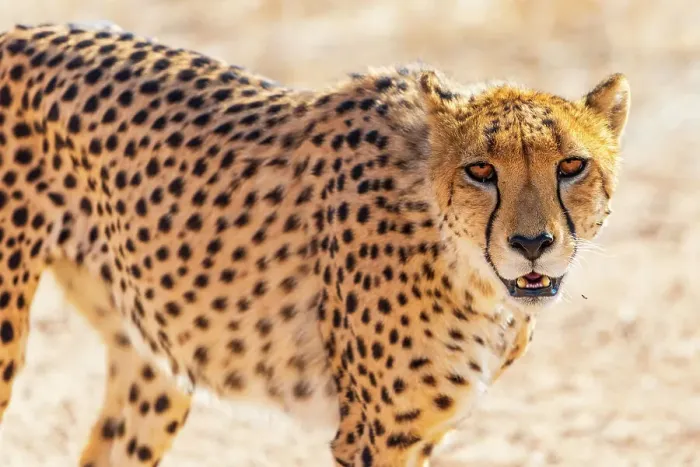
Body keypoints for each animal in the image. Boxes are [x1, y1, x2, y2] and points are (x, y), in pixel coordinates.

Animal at [0, 22, 630, 467]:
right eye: (480, 170)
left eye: (571, 165)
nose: (531, 243)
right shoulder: (376, 437)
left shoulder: (420, 435)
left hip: (156, 357)